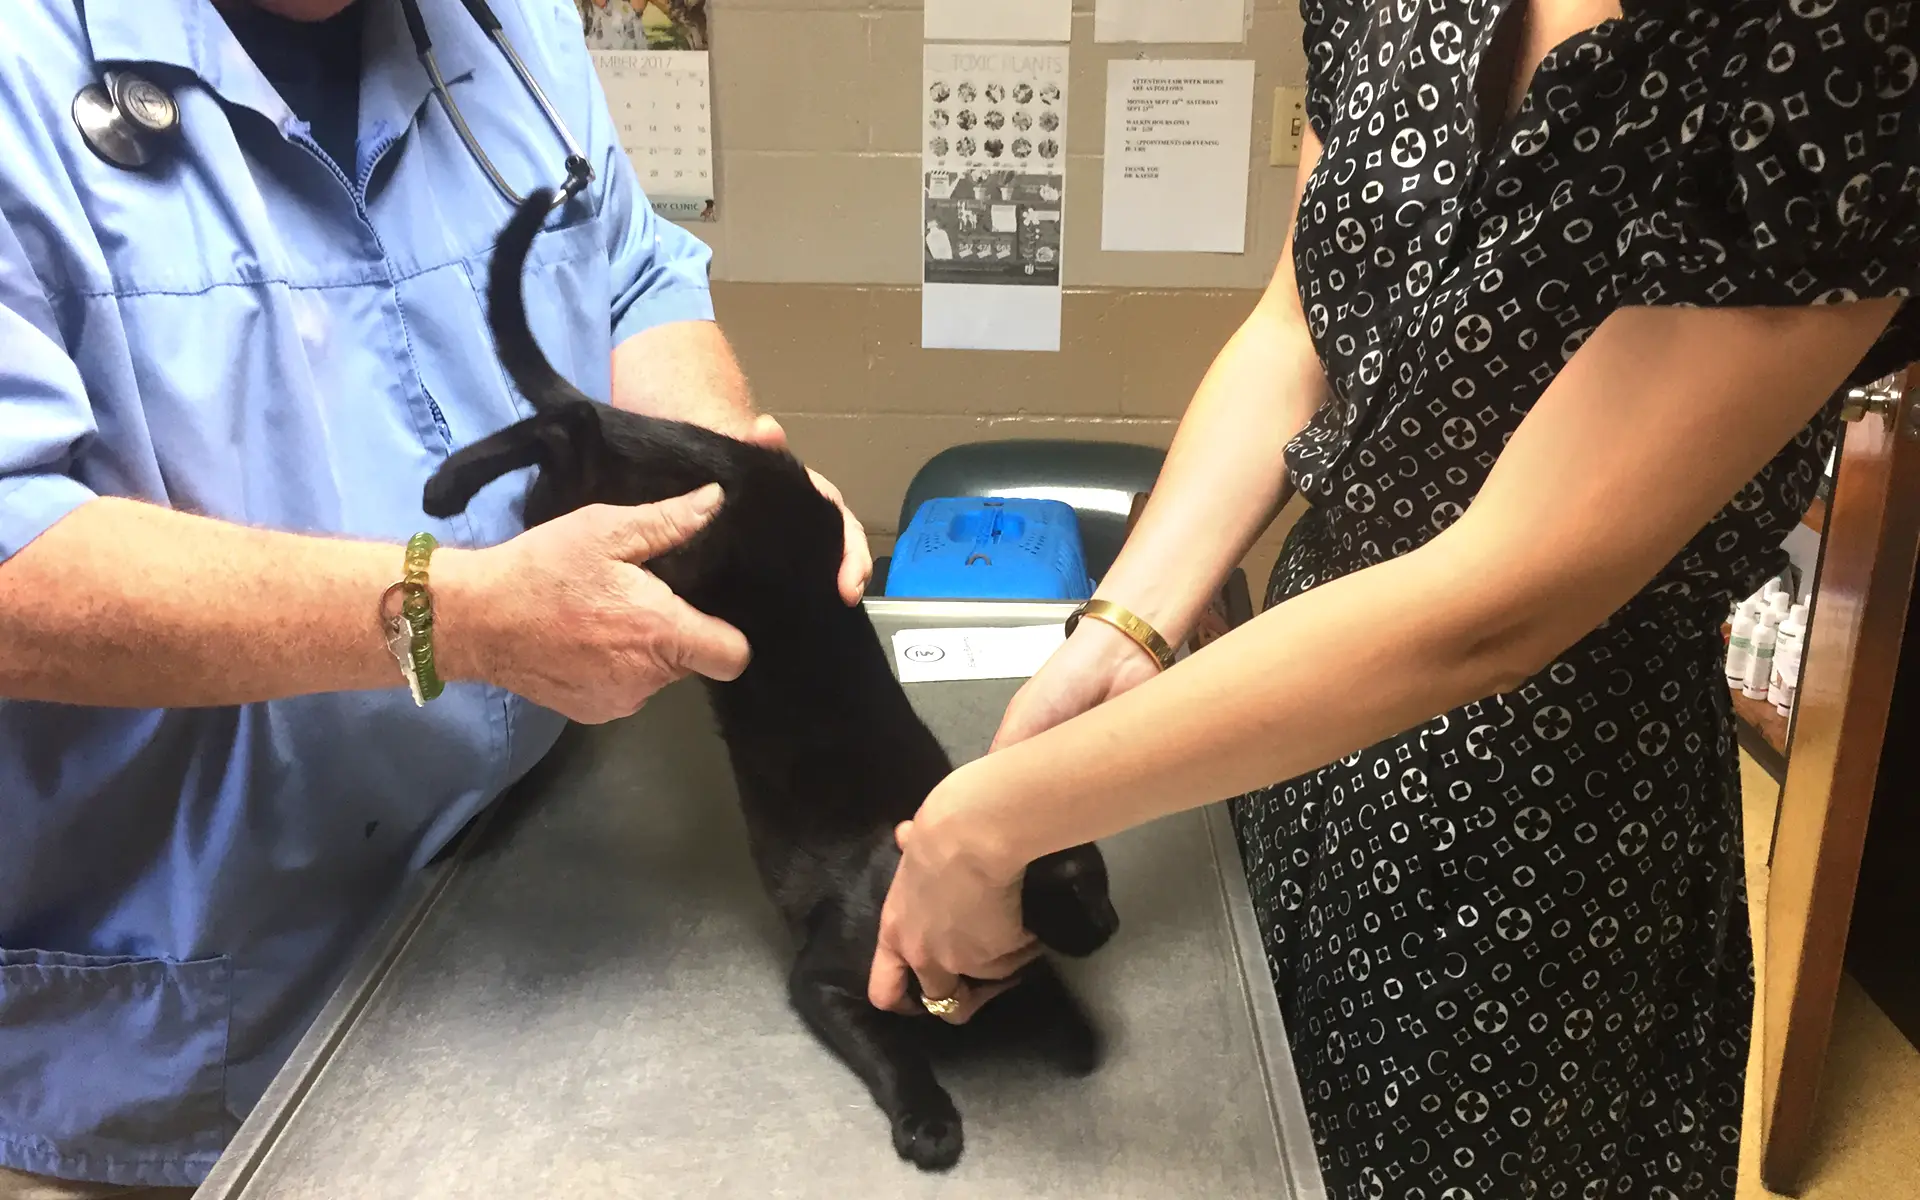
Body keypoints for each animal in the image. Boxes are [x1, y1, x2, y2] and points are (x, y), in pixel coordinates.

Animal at [428, 189, 1121, 1167]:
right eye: (1086, 887)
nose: (1114, 926)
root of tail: (738, 459)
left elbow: (1038, 995)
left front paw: (1069, 1028)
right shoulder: (825, 980)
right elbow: (895, 1047)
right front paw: (930, 1117)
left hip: (575, 512)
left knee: (569, 436)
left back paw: (455, 483)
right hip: (656, 551)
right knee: (568, 423)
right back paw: (446, 487)